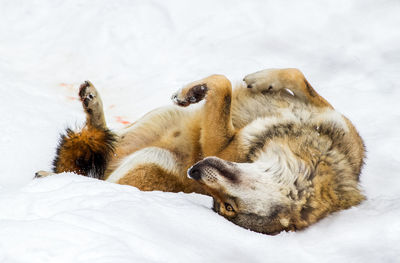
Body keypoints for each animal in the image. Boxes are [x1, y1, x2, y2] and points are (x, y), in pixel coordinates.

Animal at [37, 68, 366, 235]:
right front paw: (254, 79)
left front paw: (197, 91)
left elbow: (223, 85)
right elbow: (296, 76)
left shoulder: (222, 146)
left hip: (151, 159)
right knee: (97, 146)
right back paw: (91, 104)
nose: (194, 171)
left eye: (228, 207)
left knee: (94, 179)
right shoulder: (333, 117)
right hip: (154, 123)